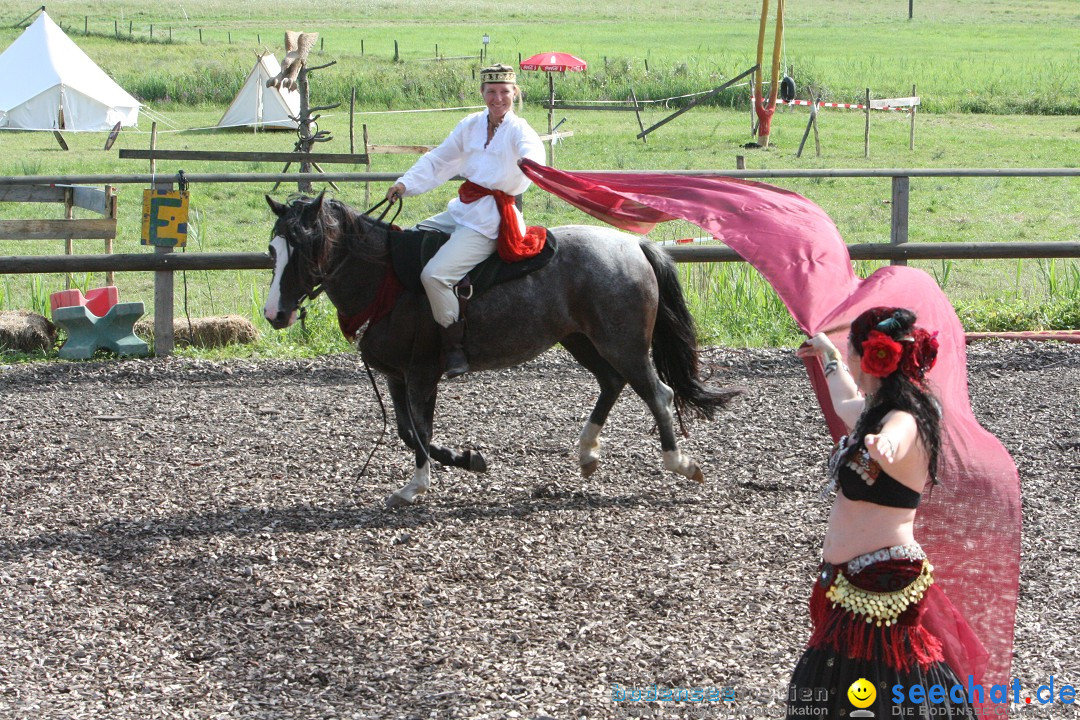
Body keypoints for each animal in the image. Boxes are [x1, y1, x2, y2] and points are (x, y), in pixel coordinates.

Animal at [261, 191, 743, 507]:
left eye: (304, 246)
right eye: (272, 250)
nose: (274, 313)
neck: (389, 282)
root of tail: (634, 244)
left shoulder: (422, 374)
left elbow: (421, 432)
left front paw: (421, 483)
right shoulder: (396, 377)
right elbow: (407, 431)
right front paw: (467, 460)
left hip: (622, 343)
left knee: (657, 393)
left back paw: (680, 463)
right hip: (581, 340)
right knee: (612, 383)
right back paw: (587, 453)